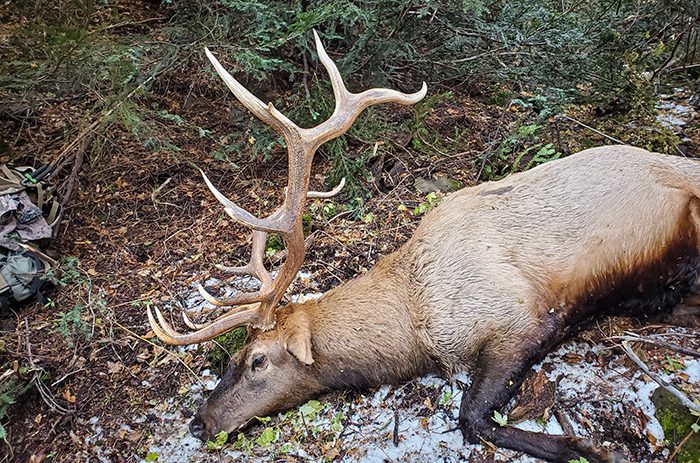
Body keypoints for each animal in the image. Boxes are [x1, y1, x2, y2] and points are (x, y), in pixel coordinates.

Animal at [146, 31, 700, 463]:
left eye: (257, 360)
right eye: (231, 359)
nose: (198, 423)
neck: (417, 328)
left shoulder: (523, 320)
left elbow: (472, 418)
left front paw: (595, 448)